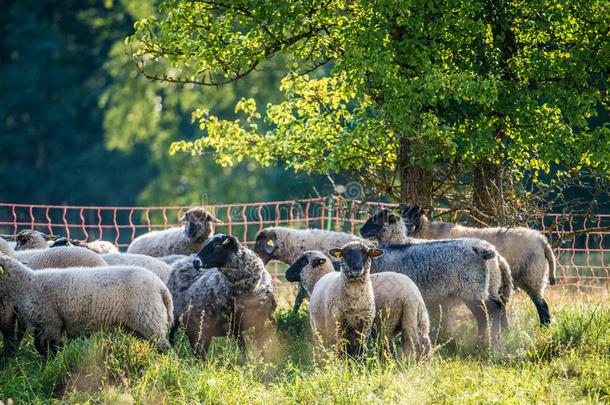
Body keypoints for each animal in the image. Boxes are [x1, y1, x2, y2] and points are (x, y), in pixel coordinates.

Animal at [0, 256, 173, 356]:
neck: (27, 284)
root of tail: (161, 287)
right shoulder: (42, 325)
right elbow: (39, 347)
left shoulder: (52, 323)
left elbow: (52, 348)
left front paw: (52, 364)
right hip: (143, 325)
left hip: (149, 319)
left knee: (166, 349)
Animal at [284, 249, 428, 360]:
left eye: (303, 261)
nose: (286, 273)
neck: (319, 279)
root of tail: (411, 296)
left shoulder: (320, 327)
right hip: (419, 319)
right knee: (424, 343)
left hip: (385, 324)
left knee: (389, 350)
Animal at [400, 204, 556, 324]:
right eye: (400, 213)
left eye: (418, 212)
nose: (407, 225)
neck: (428, 232)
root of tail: (541, 240)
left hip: (532, 276)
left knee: (543, 306)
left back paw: (544, 329)